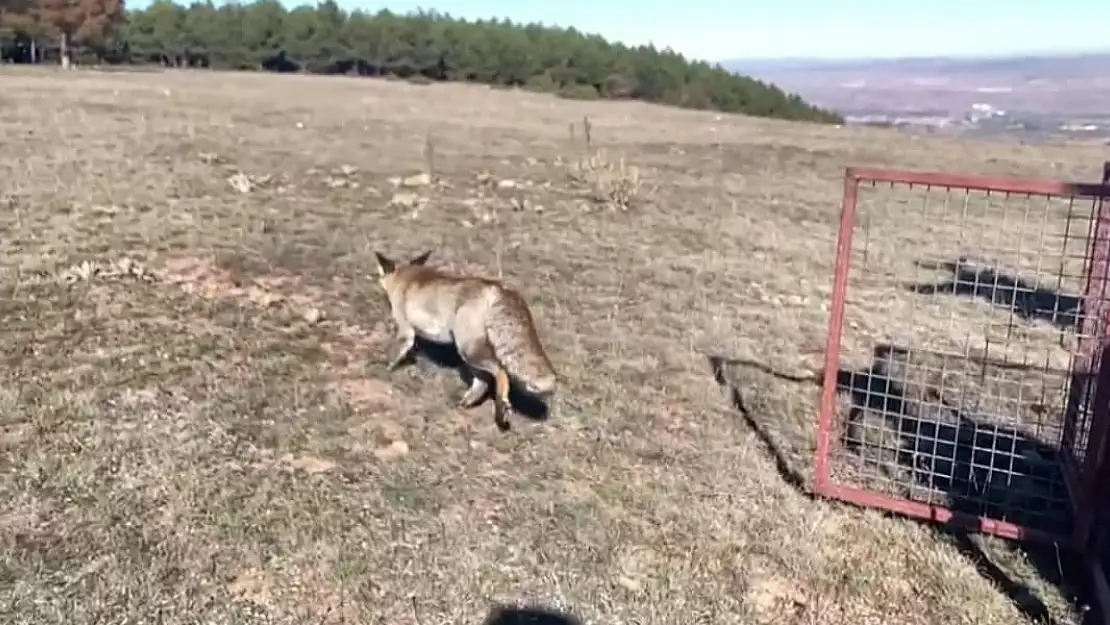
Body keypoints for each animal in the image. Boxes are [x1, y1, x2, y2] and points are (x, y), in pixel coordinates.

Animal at [372, 249, 559, 430]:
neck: (406, 277)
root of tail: (498, 288)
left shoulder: (406, 331)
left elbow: (392, 354)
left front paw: (381, 369)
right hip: (470, 354)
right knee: (484, 382)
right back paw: (467, 402)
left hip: (467, 350)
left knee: (501, 373)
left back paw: (500, 407)